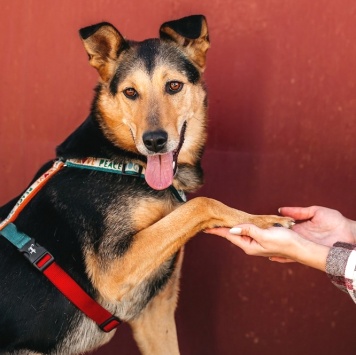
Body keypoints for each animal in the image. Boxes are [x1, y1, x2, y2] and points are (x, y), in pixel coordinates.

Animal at [0, 14, 294, 355]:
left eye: (174, 85)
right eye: (130, 92)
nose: (154, 141)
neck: (126, 164)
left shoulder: (155, 312)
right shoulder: (113, 270)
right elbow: (201, 204)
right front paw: (263, 220)